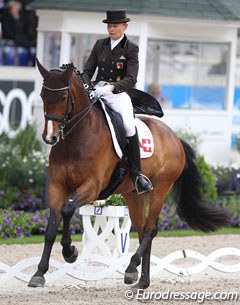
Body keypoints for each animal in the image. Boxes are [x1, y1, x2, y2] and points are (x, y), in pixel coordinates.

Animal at [28, 58, 231, 288]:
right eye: (42, 96)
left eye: (63, 97)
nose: (50, 137)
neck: (75, 138)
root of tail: (175, 138)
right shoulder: (57, 187)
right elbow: (52, 227)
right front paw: (39, 273)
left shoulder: (92, 187)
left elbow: (67, 209)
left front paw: (70, 252)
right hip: (133, 195)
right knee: (142, 230)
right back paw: (141, 280)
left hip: (161, 188)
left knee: (150, 229)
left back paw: (132, 267)